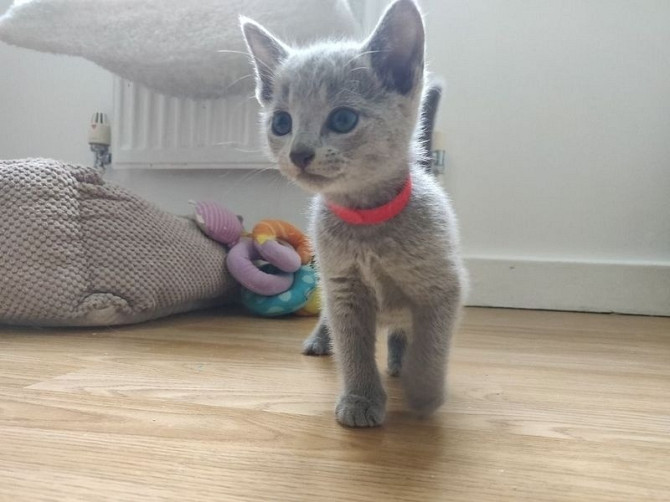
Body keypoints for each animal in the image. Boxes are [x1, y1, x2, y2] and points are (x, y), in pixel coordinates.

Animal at [242, 0, 468, 428]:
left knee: (402, 332)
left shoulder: (441, 286)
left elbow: (431, 345)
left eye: (343, 119)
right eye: (282, 122)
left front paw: (423, 392)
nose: (299, 153)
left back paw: (398, 361)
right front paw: (361, 398)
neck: (367, 222)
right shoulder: (342, 284)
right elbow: (353, 346)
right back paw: (321, 340)